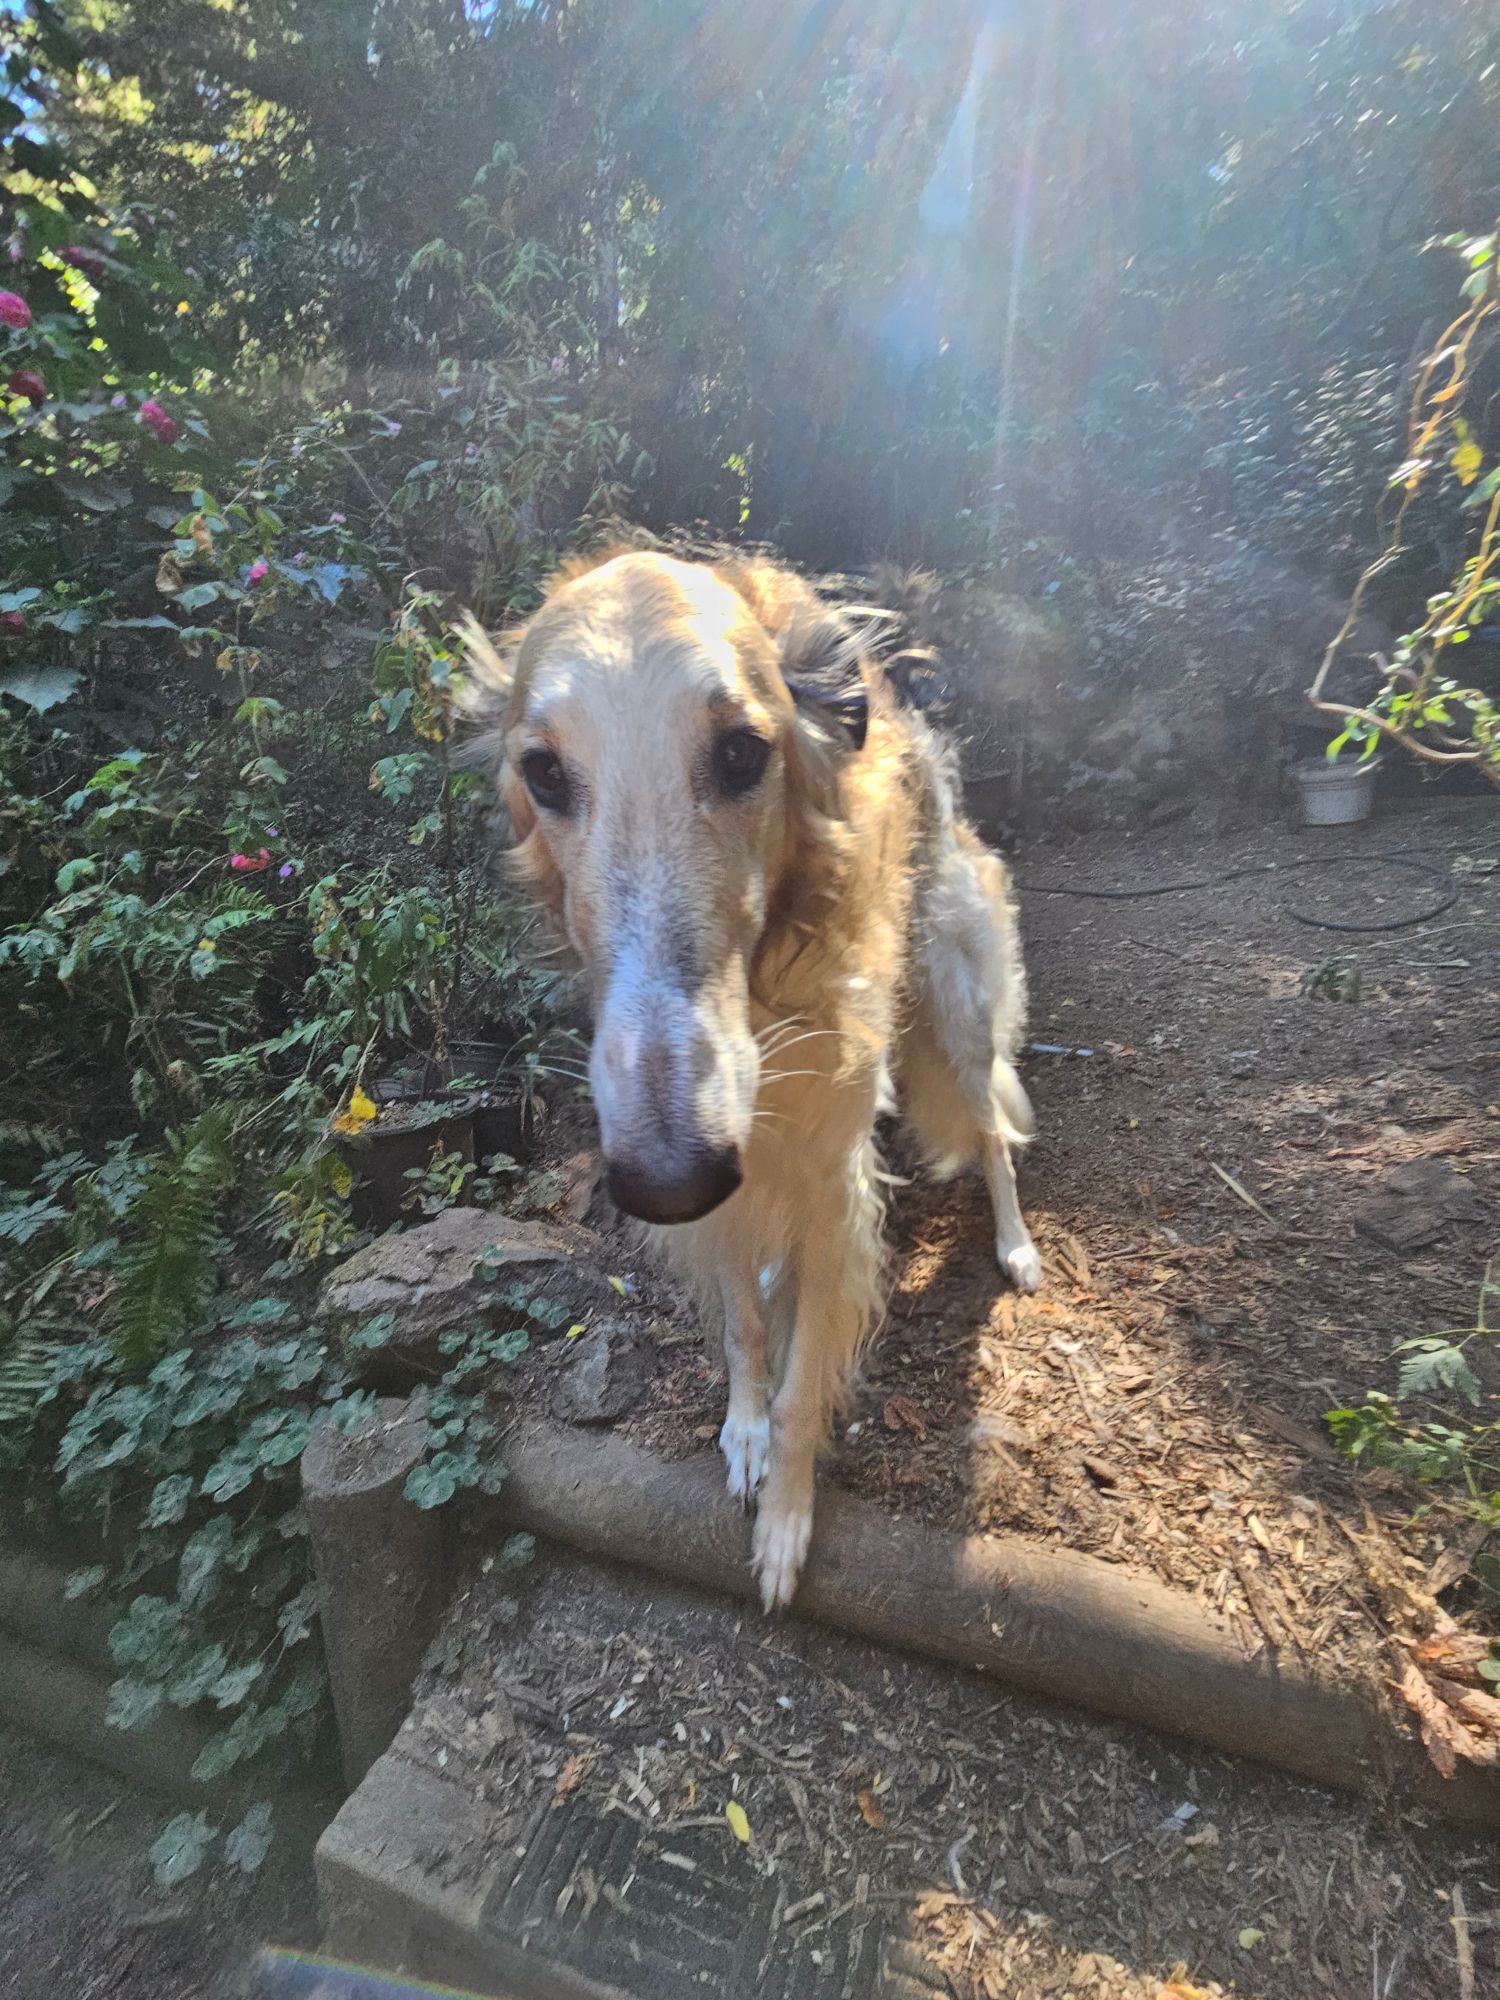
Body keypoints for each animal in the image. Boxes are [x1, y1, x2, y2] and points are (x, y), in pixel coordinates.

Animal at [464, 552, 1040, 1608]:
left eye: (741, 753)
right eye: (543, 771)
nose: (666, 1180)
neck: (767, 1009)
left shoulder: (833, 1188)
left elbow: (808, 1372)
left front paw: (784, 1519)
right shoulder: (728, 1183)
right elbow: (743, 1327)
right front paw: (745, 1430)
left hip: (957, 1008)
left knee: (994, 1134)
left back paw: (1018, 1247)